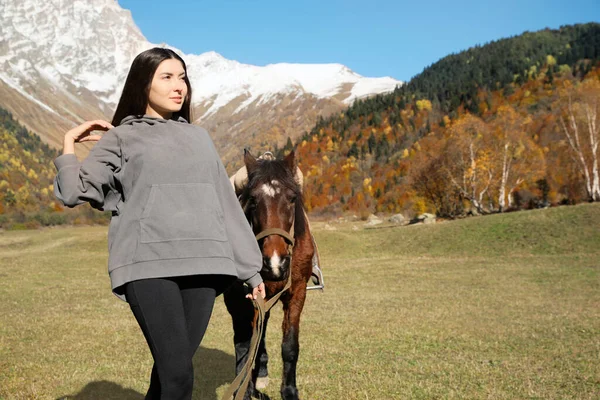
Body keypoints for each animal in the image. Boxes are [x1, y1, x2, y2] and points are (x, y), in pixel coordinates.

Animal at [224, 148, 314, 398]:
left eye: (292, 198)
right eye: (253, 200)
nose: (275, 263)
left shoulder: (297, 292)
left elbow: (290, 345)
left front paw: (289, 391)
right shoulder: (242, 300)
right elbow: (245, 347)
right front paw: (244, 391)